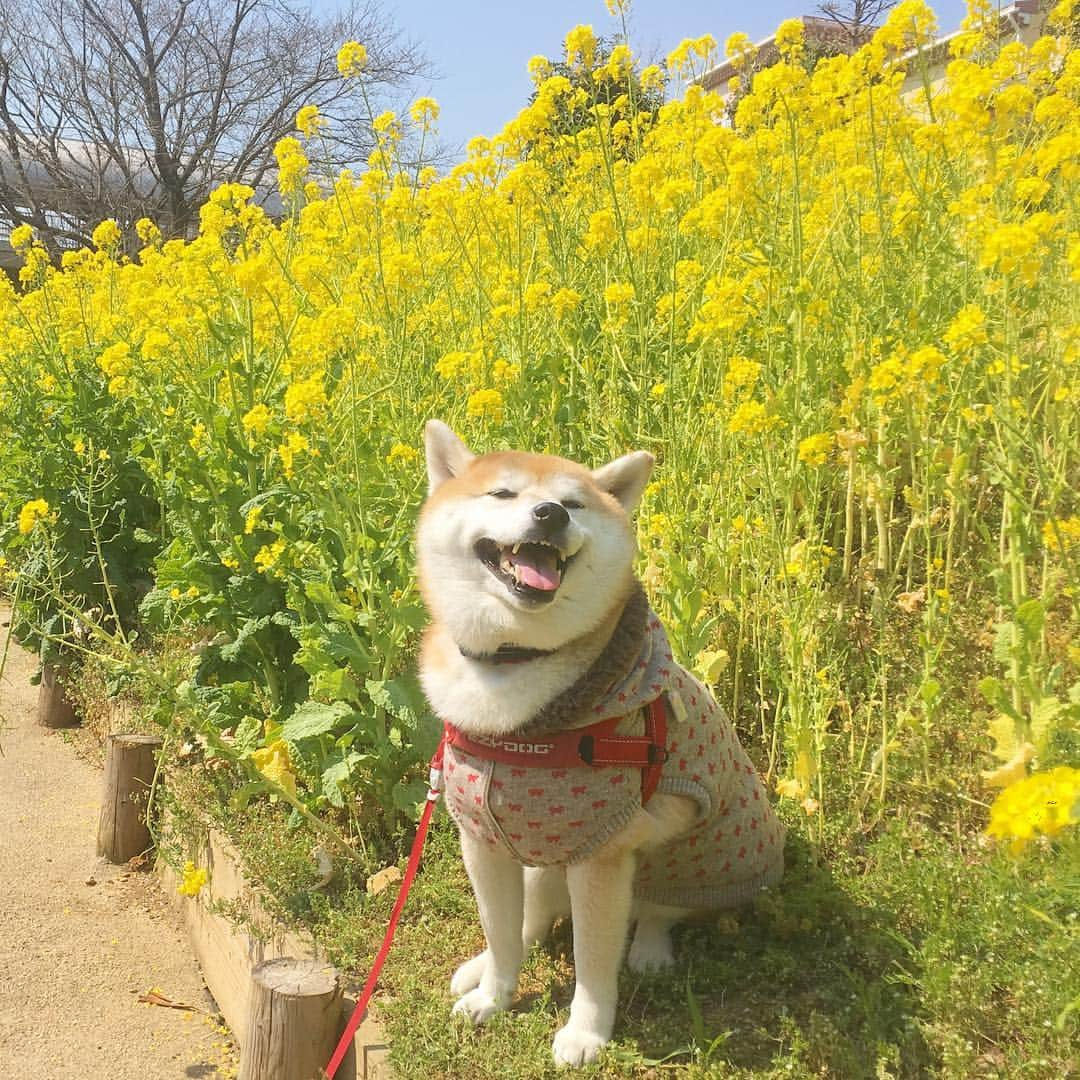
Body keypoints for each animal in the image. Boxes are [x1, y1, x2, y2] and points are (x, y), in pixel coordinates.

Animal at [414, 419, 786, 1062]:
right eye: (503, 493)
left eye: (575, 503)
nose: (549, 514)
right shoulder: (482, 838)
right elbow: (502, 931)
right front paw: (494, 994)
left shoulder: (602, 854)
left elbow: (592, 959)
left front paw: (585, 1033)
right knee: (532, 916)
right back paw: (481, 966)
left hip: (693, 847)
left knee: (659, 910)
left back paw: (650, 950)